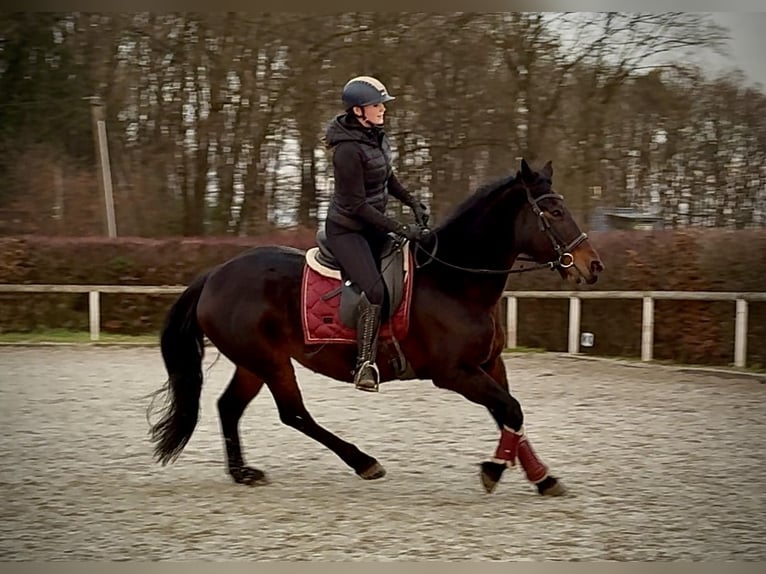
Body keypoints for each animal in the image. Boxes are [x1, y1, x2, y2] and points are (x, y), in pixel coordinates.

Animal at [147, 158, 604, 496]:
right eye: (554, 211)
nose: (593, 265)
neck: (455, 281)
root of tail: (216, 274)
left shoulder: (490, 365)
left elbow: (510, 414)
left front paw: (543, 477)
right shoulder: (455, 373)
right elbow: (511, 409)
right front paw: (494, 470)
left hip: (253, 362)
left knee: (230, 406)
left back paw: (242, 472)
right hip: (270, 361)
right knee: (294, 414)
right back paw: (363, 462)